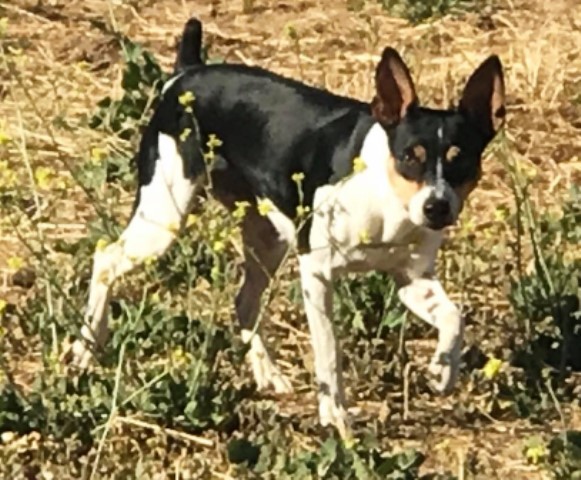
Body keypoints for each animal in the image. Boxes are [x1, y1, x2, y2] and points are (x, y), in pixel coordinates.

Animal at [65, 17, 506, 438]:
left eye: (462, 160)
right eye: (410, 156)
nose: (437, 207)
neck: (385, 201)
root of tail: (185, 74)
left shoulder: (412, 280)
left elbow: (454, 317)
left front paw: (443, 371)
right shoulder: (317, 274)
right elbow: (329, 352)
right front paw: (335, 416)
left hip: (266, 237)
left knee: (244, 301)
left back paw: (268, 373)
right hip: (164, 219)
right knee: (105, 258)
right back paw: (87, 347)